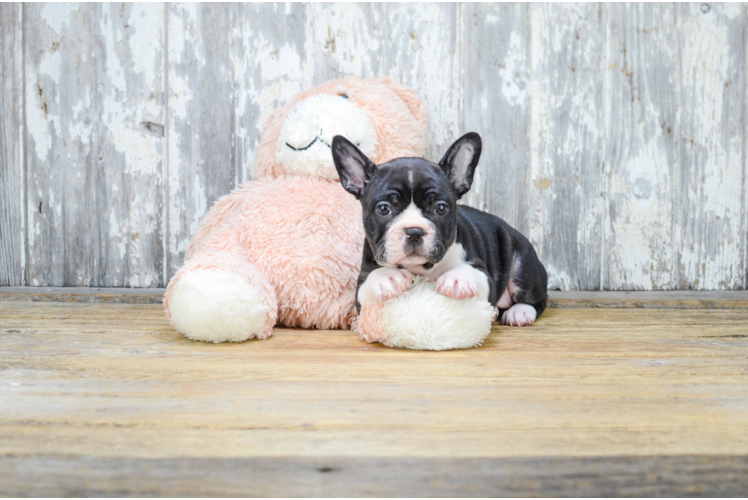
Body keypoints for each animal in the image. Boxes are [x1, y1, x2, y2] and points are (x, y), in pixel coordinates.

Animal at [334, 133, 548, 326]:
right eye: (384, 209)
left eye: (441, 208)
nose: (414, 231)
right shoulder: (362, 284)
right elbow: (369, 283)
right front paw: (387, 276)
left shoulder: (485, 276)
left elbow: (474, 272)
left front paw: (458, 278)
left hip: (522, 262)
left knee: (536, 297)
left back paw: (519, 312)